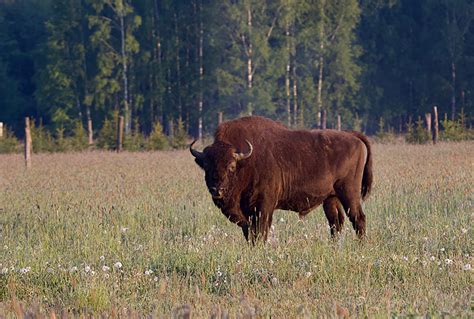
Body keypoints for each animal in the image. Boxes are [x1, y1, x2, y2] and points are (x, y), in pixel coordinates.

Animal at [191, 116, 372, 244]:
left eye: (231, 166)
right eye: (206, 165)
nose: (217, 190)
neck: (246, 162)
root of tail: (352, 136)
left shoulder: (264, 207)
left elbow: (261, 232)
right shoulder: (247, 215)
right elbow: (250, 233)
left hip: (349, 193)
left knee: (358, 218)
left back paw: (361, 246)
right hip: (331, 198)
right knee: (336, 222)